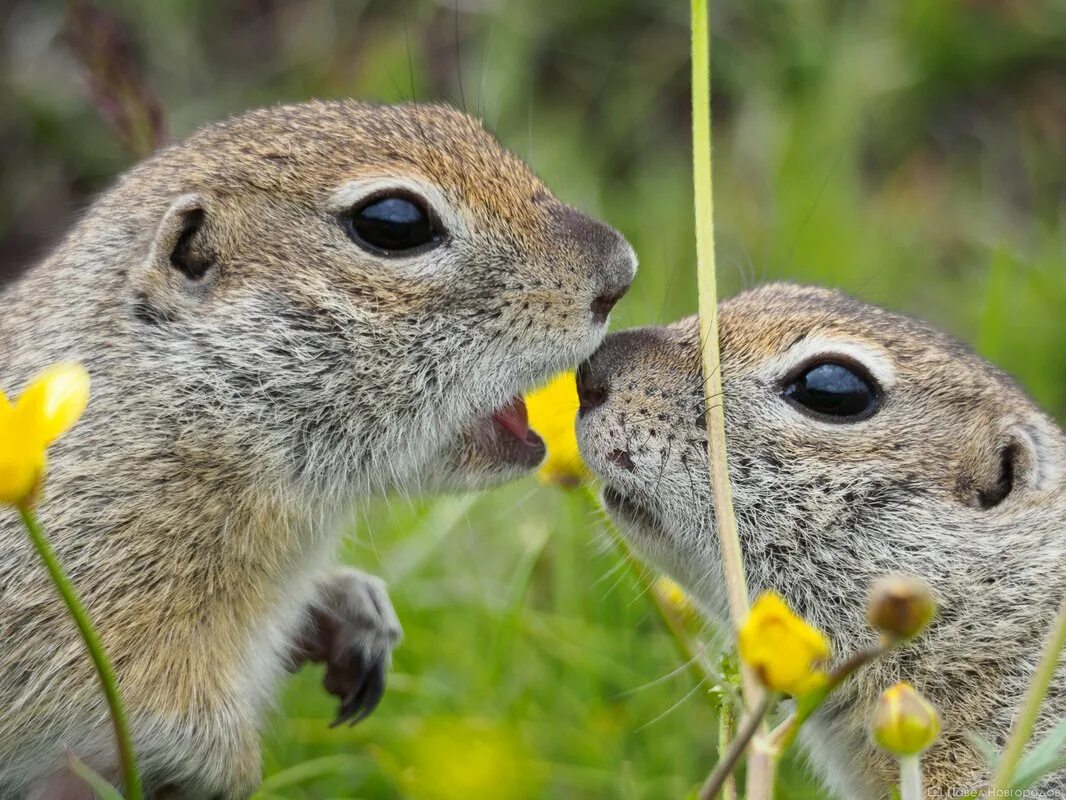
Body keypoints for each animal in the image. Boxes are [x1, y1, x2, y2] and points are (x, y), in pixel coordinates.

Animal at [0, 100, 631, 800]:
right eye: (393, 222)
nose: (622, 269)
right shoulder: (86, 620)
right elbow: (138, 714)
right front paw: (237, 769)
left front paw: (354, 611)